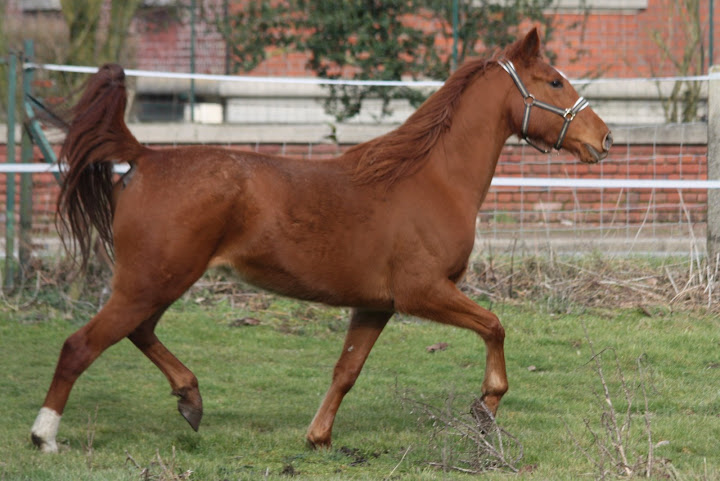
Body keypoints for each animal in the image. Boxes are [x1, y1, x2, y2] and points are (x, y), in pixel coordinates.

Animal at [31, 28, 611, 453]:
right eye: (554, 82)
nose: (604, 139)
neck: (429, 180)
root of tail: (146, 156)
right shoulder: (423, 292)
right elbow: (495, 326)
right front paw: (486, 409)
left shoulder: (376, 305)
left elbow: (347, 370)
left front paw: (318, 437)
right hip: (151, 282)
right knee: (81, 345)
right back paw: (45, 436)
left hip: (157, 284)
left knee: (138, 332)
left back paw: (190, 398)